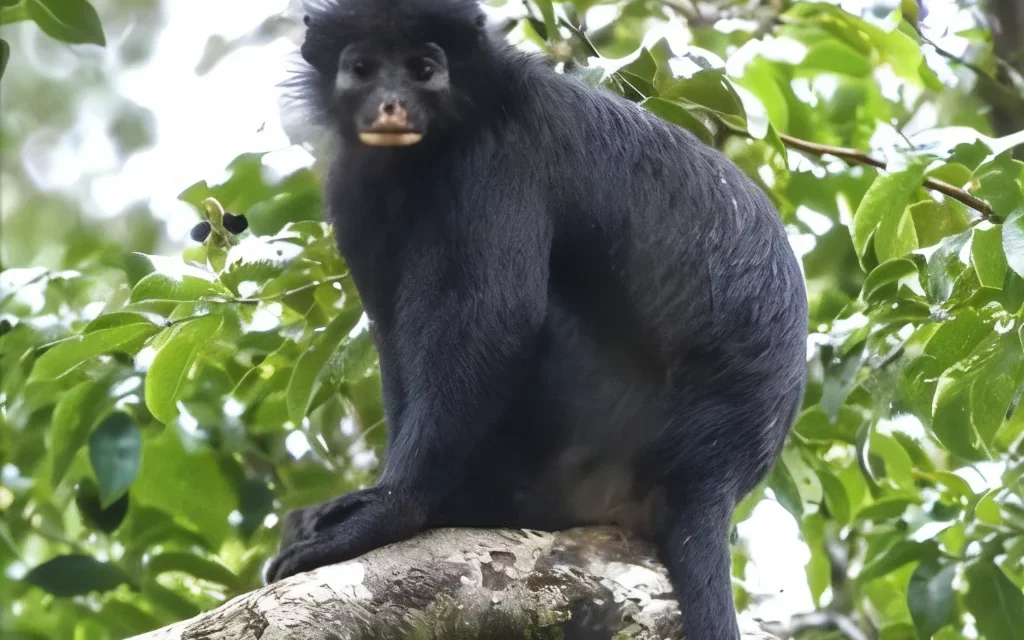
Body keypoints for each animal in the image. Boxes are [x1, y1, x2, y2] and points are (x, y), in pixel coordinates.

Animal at [266, 1, 808, 638]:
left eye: (424, 69)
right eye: (363, 69)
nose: (392, 104)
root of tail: (713, 474)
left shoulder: (498, 155)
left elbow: (493, 321)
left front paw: (393, 510)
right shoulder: (355, 185)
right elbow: (392, 335)